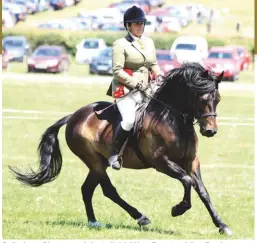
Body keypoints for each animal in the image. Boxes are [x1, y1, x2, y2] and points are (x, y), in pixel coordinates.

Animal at [8, 62, 232, 235]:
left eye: (218, 99)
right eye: (202, 99)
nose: (210, 131)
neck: (171, 119)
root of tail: (73, 116)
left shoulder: (191, 161)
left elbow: (202, 191)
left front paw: (222, 225)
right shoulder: (161, 162)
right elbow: (186, 181)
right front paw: (178, 209)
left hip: (96, 164)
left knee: (87, 189)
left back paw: (93, 221)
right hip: (95, 161)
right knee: (109, 191)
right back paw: (140, 217)